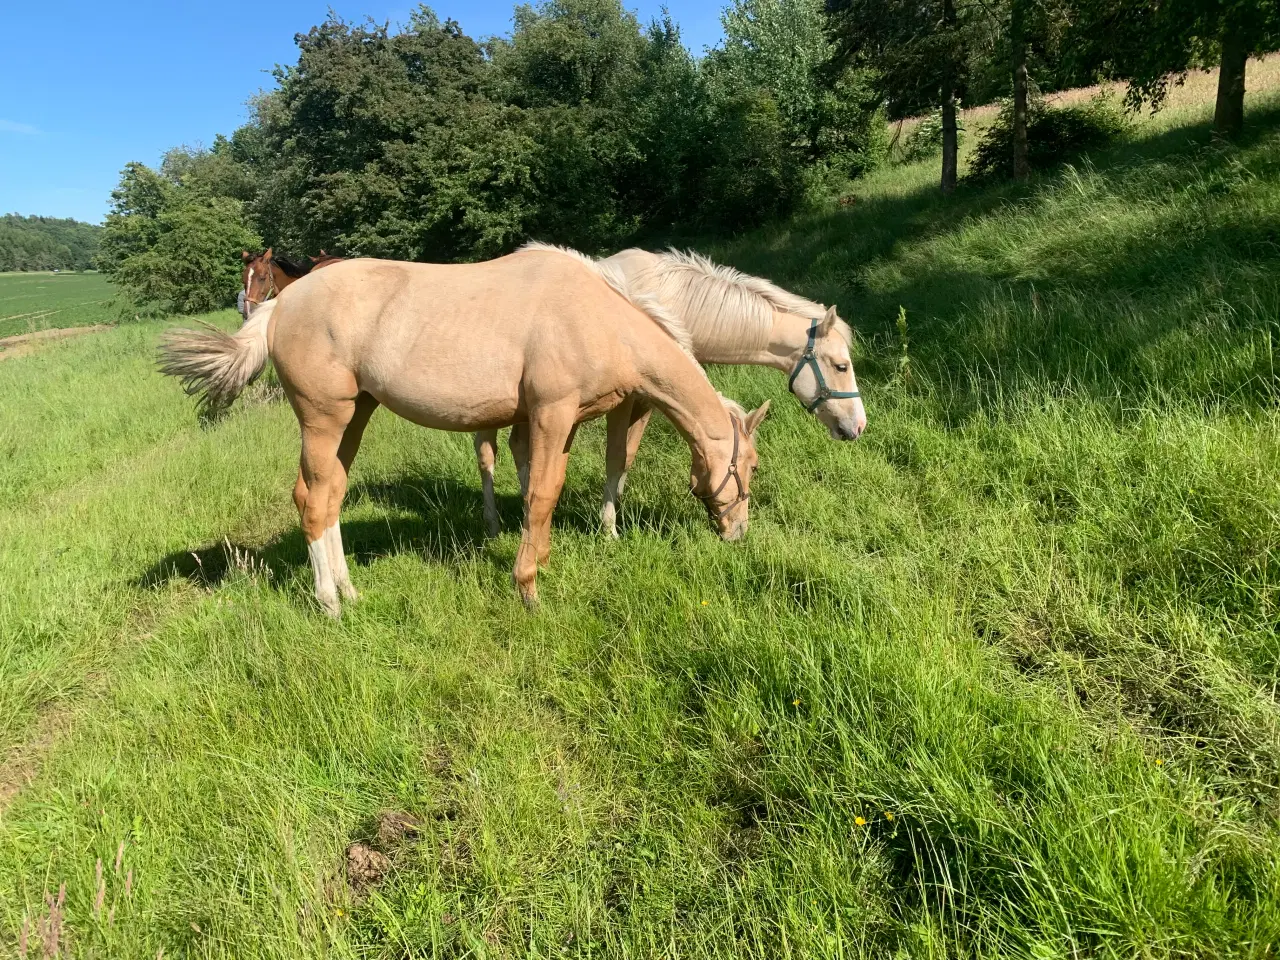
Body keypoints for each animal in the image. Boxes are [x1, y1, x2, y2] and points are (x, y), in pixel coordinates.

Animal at [154, 248, 762, 616]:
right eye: (750, 467)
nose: (738, 533)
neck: (597, 318)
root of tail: (279, 307)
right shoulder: (551, 412)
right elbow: (543, 493)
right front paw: (528, 588)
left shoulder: (560, 423)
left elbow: (542, 494)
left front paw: (541, 562)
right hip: (323, 418)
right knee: (312, 500)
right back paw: (330, 603)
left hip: (357, 414)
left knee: (329, 496)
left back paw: (351, 591)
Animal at [473, 245, 870, 535]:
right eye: (841, 366)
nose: (858, 426)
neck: (672, 301)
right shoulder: (627, 400)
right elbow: (616, 456)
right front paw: (608, 528)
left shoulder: (651, 399)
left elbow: (627, 459)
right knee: (488, 453)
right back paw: (493, 523)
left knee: (518, 447)